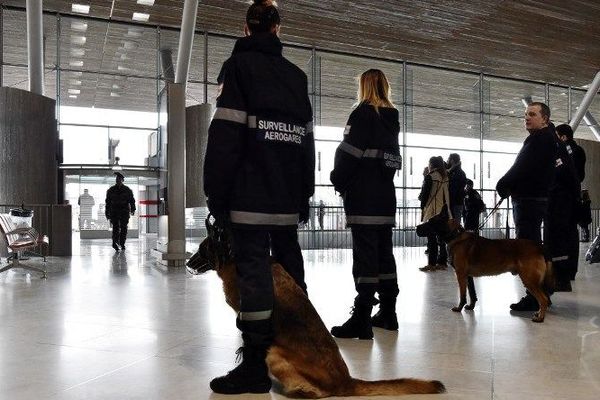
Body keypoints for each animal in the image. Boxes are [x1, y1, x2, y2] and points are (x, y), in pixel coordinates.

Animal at [188, 216, 446, 396]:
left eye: (201, 249)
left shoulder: (245, 314)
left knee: (315, 393)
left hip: (274, 353)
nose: (188, 264)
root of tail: (346, 382)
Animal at [418, 208, 552, 324]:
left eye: (430, 222)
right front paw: (471, 307)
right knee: (544, 298)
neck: (455, 235)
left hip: (529, 280)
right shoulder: (468, 277)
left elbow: (463, 295)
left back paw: (540, 317)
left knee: (543, 299)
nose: (417, 227)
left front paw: (459, 308)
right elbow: (472, 294)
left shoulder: (461, 275)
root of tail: (538, 247)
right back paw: (538, 313)